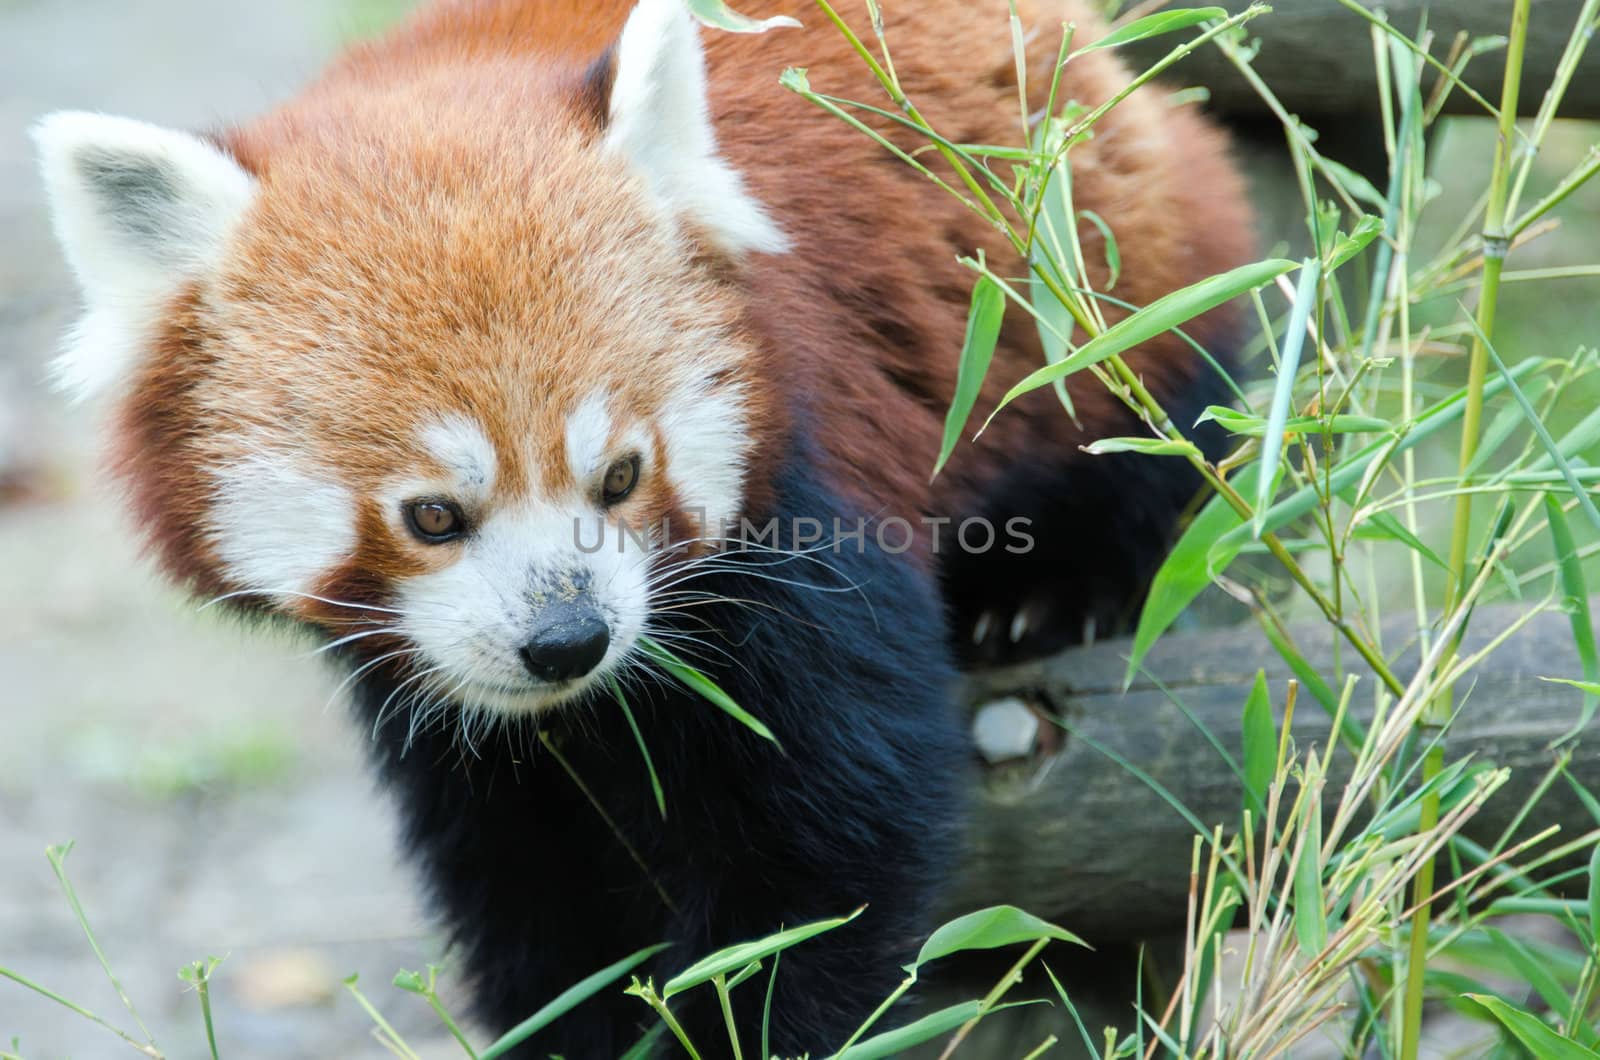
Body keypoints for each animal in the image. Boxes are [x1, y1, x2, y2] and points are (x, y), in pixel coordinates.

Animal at [28, 0, 1248, 1050]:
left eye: (618, 477)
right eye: (433, 515)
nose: (568, 641)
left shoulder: (799, 491)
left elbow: (824, 849)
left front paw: (742, 1023)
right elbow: (529, 890)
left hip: (1096, 269)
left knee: (1156, 415)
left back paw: (1054, 588)